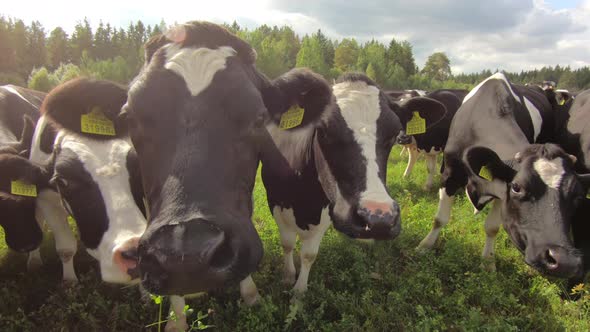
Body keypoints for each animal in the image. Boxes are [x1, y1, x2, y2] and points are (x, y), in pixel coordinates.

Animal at [418, 73, 588, 280]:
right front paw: (424, 246)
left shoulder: (501, 187)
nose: (565, 261)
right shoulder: (450, 175)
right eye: (517, 187)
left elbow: (492, 227)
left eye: (577, 196)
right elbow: (440, 218)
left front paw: (488, 263)